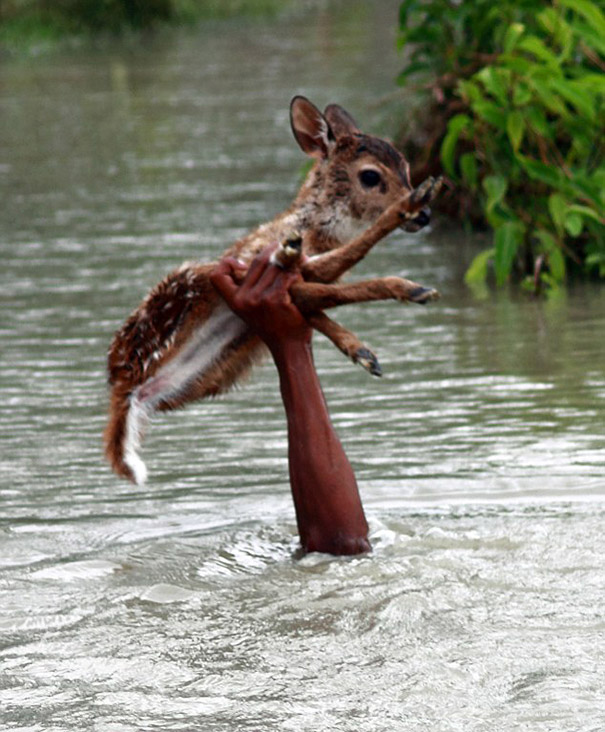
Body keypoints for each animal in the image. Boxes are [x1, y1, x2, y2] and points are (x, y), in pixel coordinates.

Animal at [105, 96, 443, 485]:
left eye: (405, 166)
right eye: (371, 175)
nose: (425, 215)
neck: (314, 230)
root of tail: (125, 386)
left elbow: (323, 299)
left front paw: (362, 351)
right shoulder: (258, 263)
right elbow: (333, 280)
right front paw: (409, 279)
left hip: (218, 369)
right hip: (189, 282)